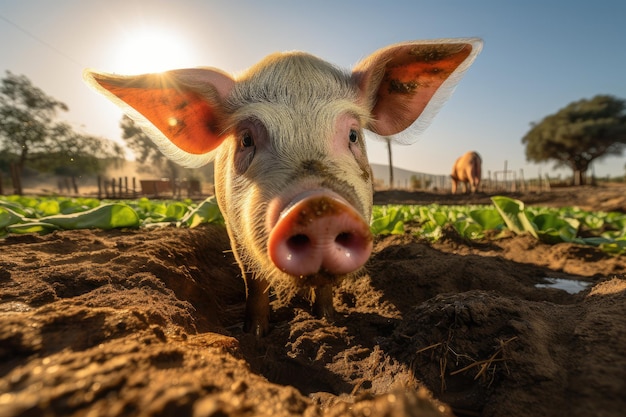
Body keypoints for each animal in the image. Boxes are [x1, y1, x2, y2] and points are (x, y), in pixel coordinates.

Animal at [84, 38, 478, 334]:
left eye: (353, 135)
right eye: (246, 139)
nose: (319, 206)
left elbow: (325, 287)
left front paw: (327, 321)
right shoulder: (232, 227)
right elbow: (253, 280)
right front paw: (255, 333)